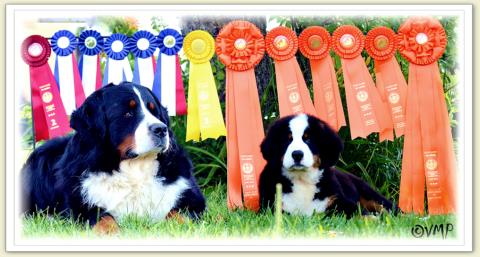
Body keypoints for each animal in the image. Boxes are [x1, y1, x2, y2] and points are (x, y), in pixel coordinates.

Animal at [21, 81, 205, 232]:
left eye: (154, 112)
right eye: (128, 113)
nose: (161, 129)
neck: (134, 168)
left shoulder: (190, 196)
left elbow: (178, 214)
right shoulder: (80, 205)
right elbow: (103, 218)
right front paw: (113, 233)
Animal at [260, 113, 396, 216]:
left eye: (308, 139)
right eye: (288, 139)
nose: (297, 154)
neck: (302, 180)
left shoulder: (338, 201)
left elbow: (361, 214)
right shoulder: (273, 207)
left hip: (370, 194)